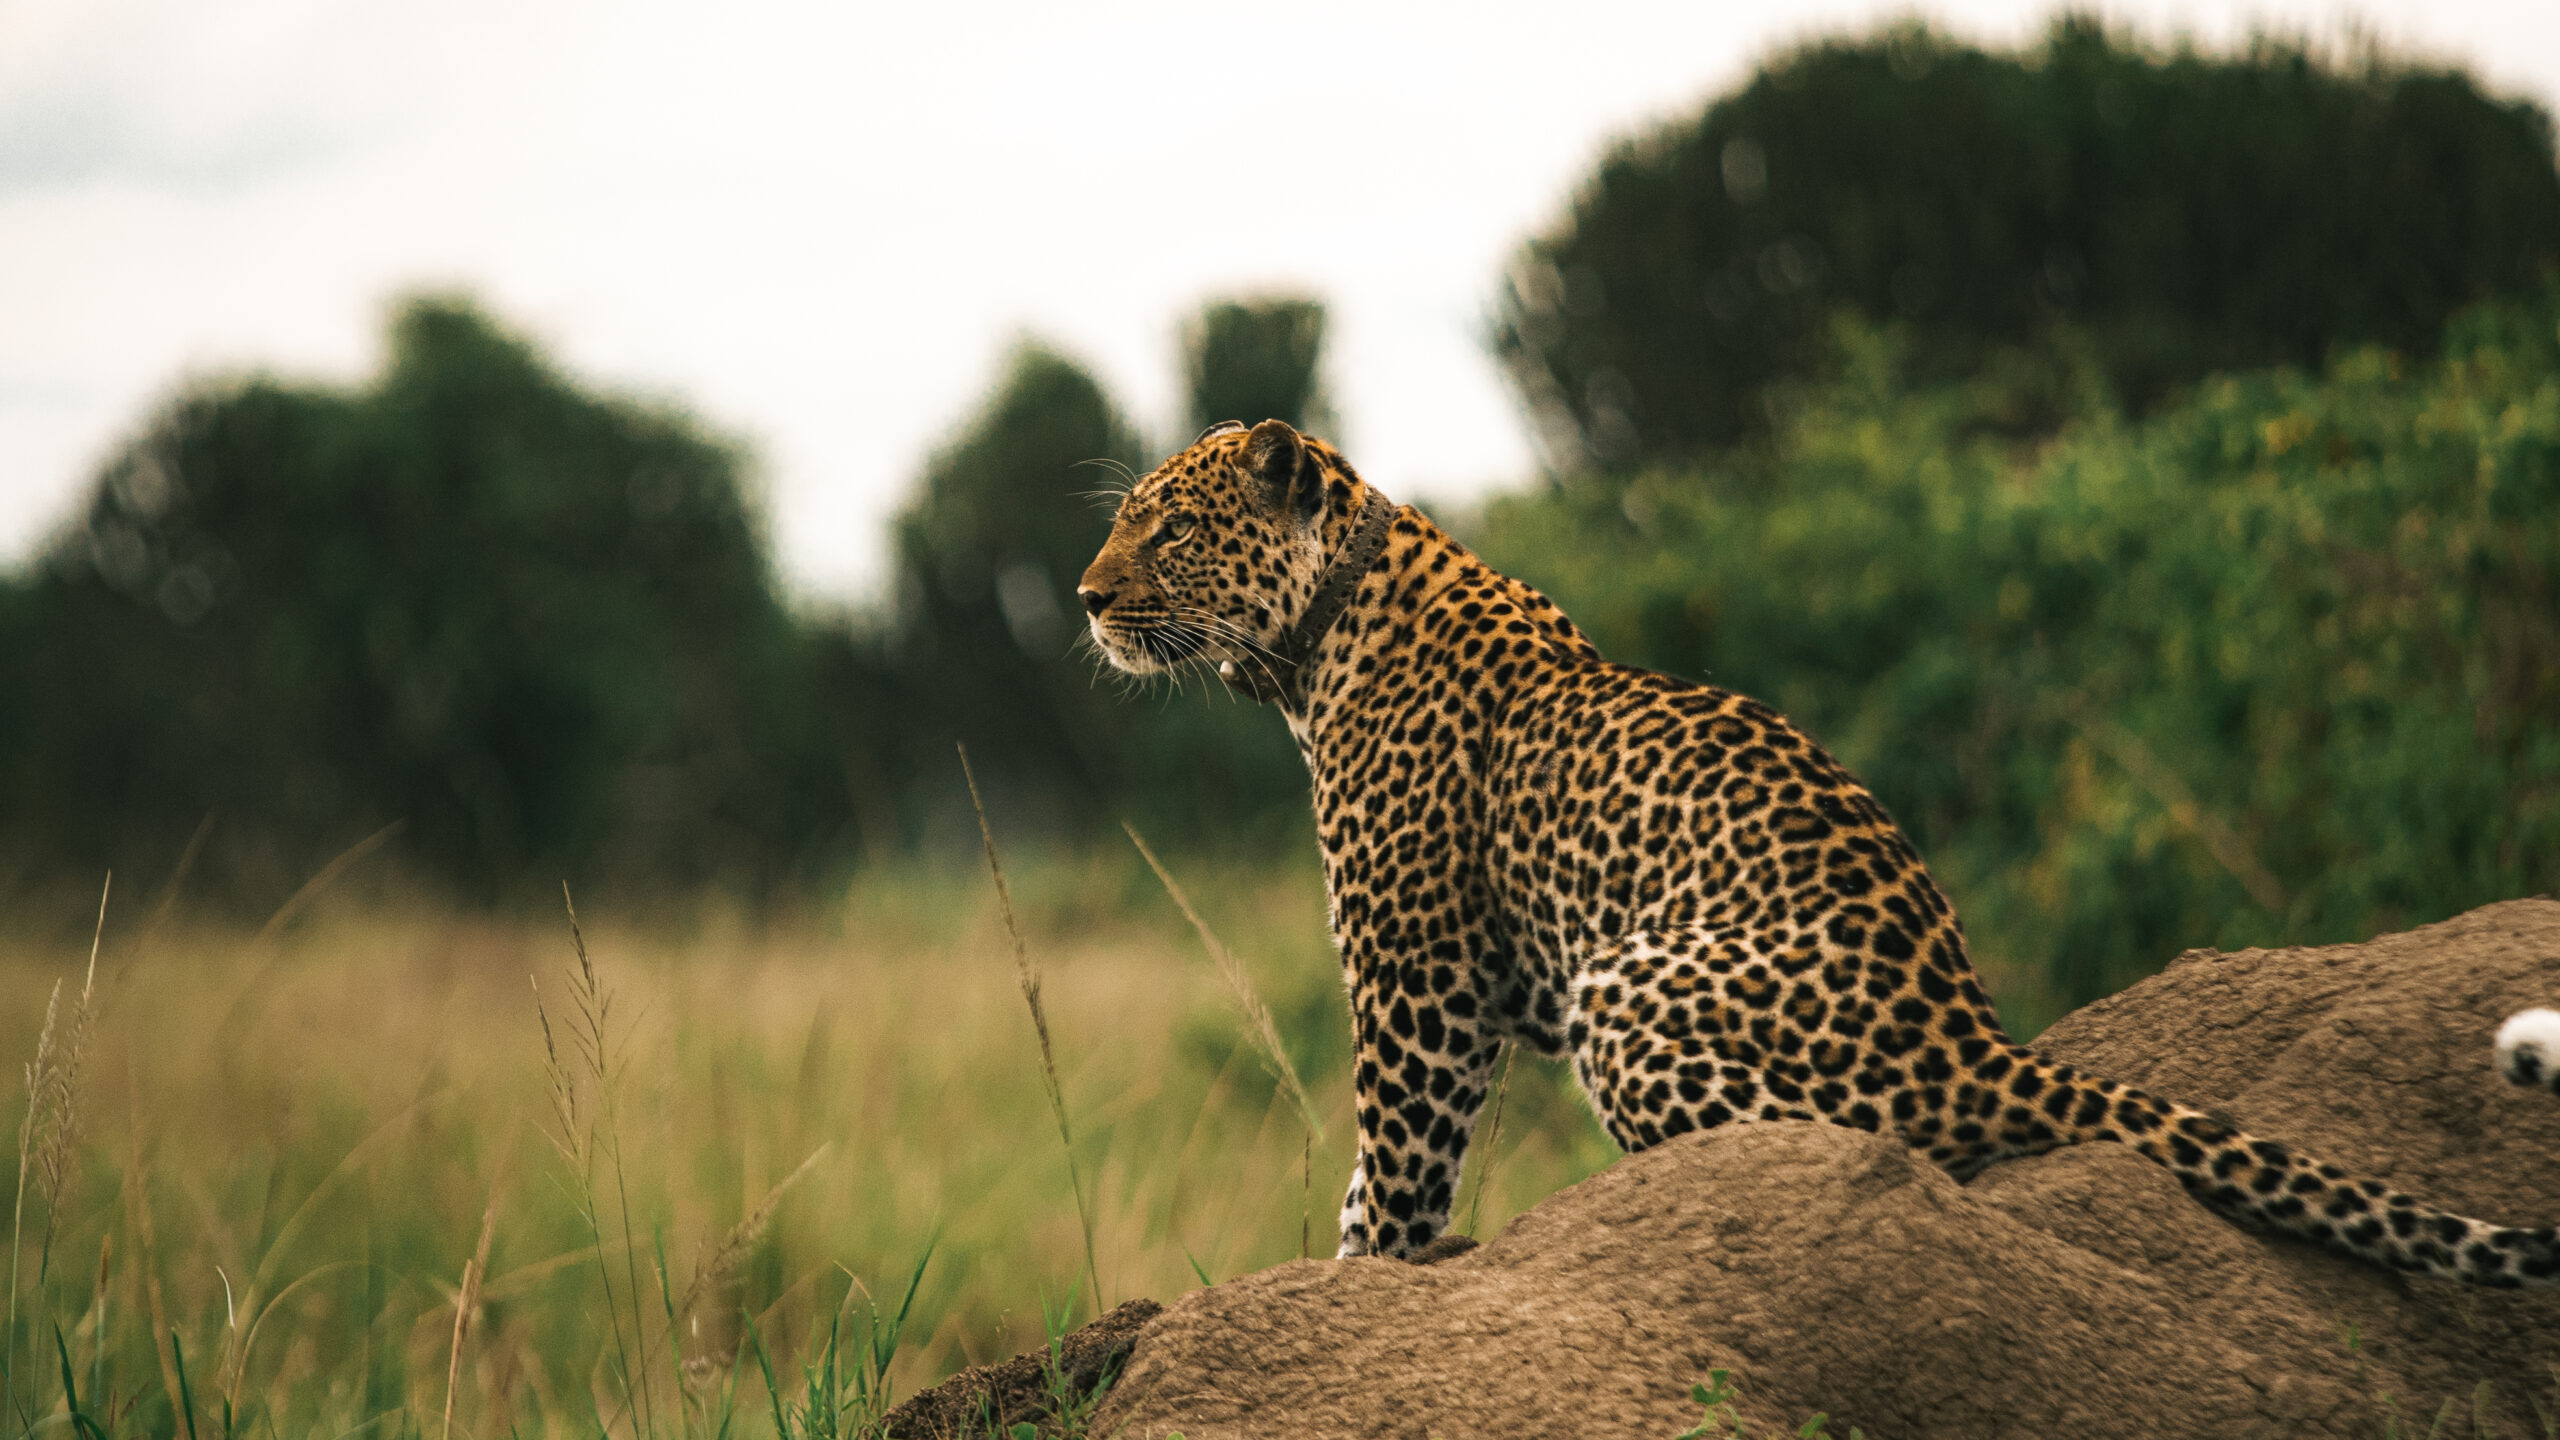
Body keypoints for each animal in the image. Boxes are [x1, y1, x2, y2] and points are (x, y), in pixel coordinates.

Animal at [1076, 417, 2560, 1286]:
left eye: (1172, 526)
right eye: (1125, 517)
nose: (1087, 596)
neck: (1316, 634)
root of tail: (1976, 1039)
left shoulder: (1421, 980)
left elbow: (1391, 1160)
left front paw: (1367, 1275)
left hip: (1632, 992)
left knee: (1848, 1154)